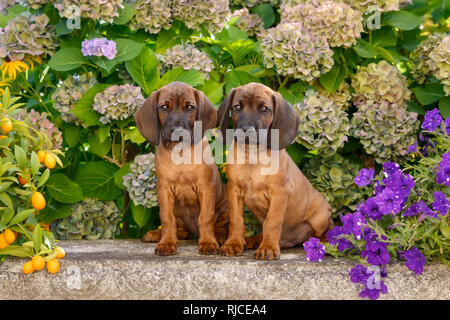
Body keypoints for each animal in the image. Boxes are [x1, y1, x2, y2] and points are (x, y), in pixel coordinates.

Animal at [135, 82, 229, 255]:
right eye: (164, 107)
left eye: (190, 107)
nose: (178, 130)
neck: (180, 152)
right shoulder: (164, 189)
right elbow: (167, 218)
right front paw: (166, 242)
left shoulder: (206, 187)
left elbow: (206, 217)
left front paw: (208, 242)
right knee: (180, 230)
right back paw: (158, 234)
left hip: (225, 205)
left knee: (219, 225)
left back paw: (218, 237)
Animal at [218, 82, 334, 260]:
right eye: (237, 107)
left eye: (264, 109)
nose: (245, 129)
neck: (253, 157)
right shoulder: (234, 190)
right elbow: (236, 220)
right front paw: (233, 243)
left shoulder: (279, 193)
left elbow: (272, 222)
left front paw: (268, 248)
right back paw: (253, 240)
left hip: (320, 216)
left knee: (326, 230)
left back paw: (325, 242)